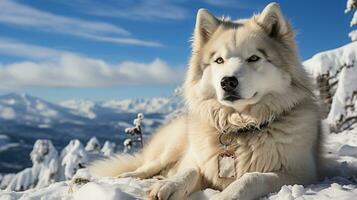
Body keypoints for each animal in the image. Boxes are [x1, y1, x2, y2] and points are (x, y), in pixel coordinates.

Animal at [89, 3, 320, 200]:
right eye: (219, 60)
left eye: (254, 58)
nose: (227, 82)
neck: (240, 127)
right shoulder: (196, 160)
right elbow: (189, 170)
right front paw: (169, 185)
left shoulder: (301, 174)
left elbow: (254, 177)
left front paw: (227, 195)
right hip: (173, 145)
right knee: (147, 166)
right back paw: (129, 177)